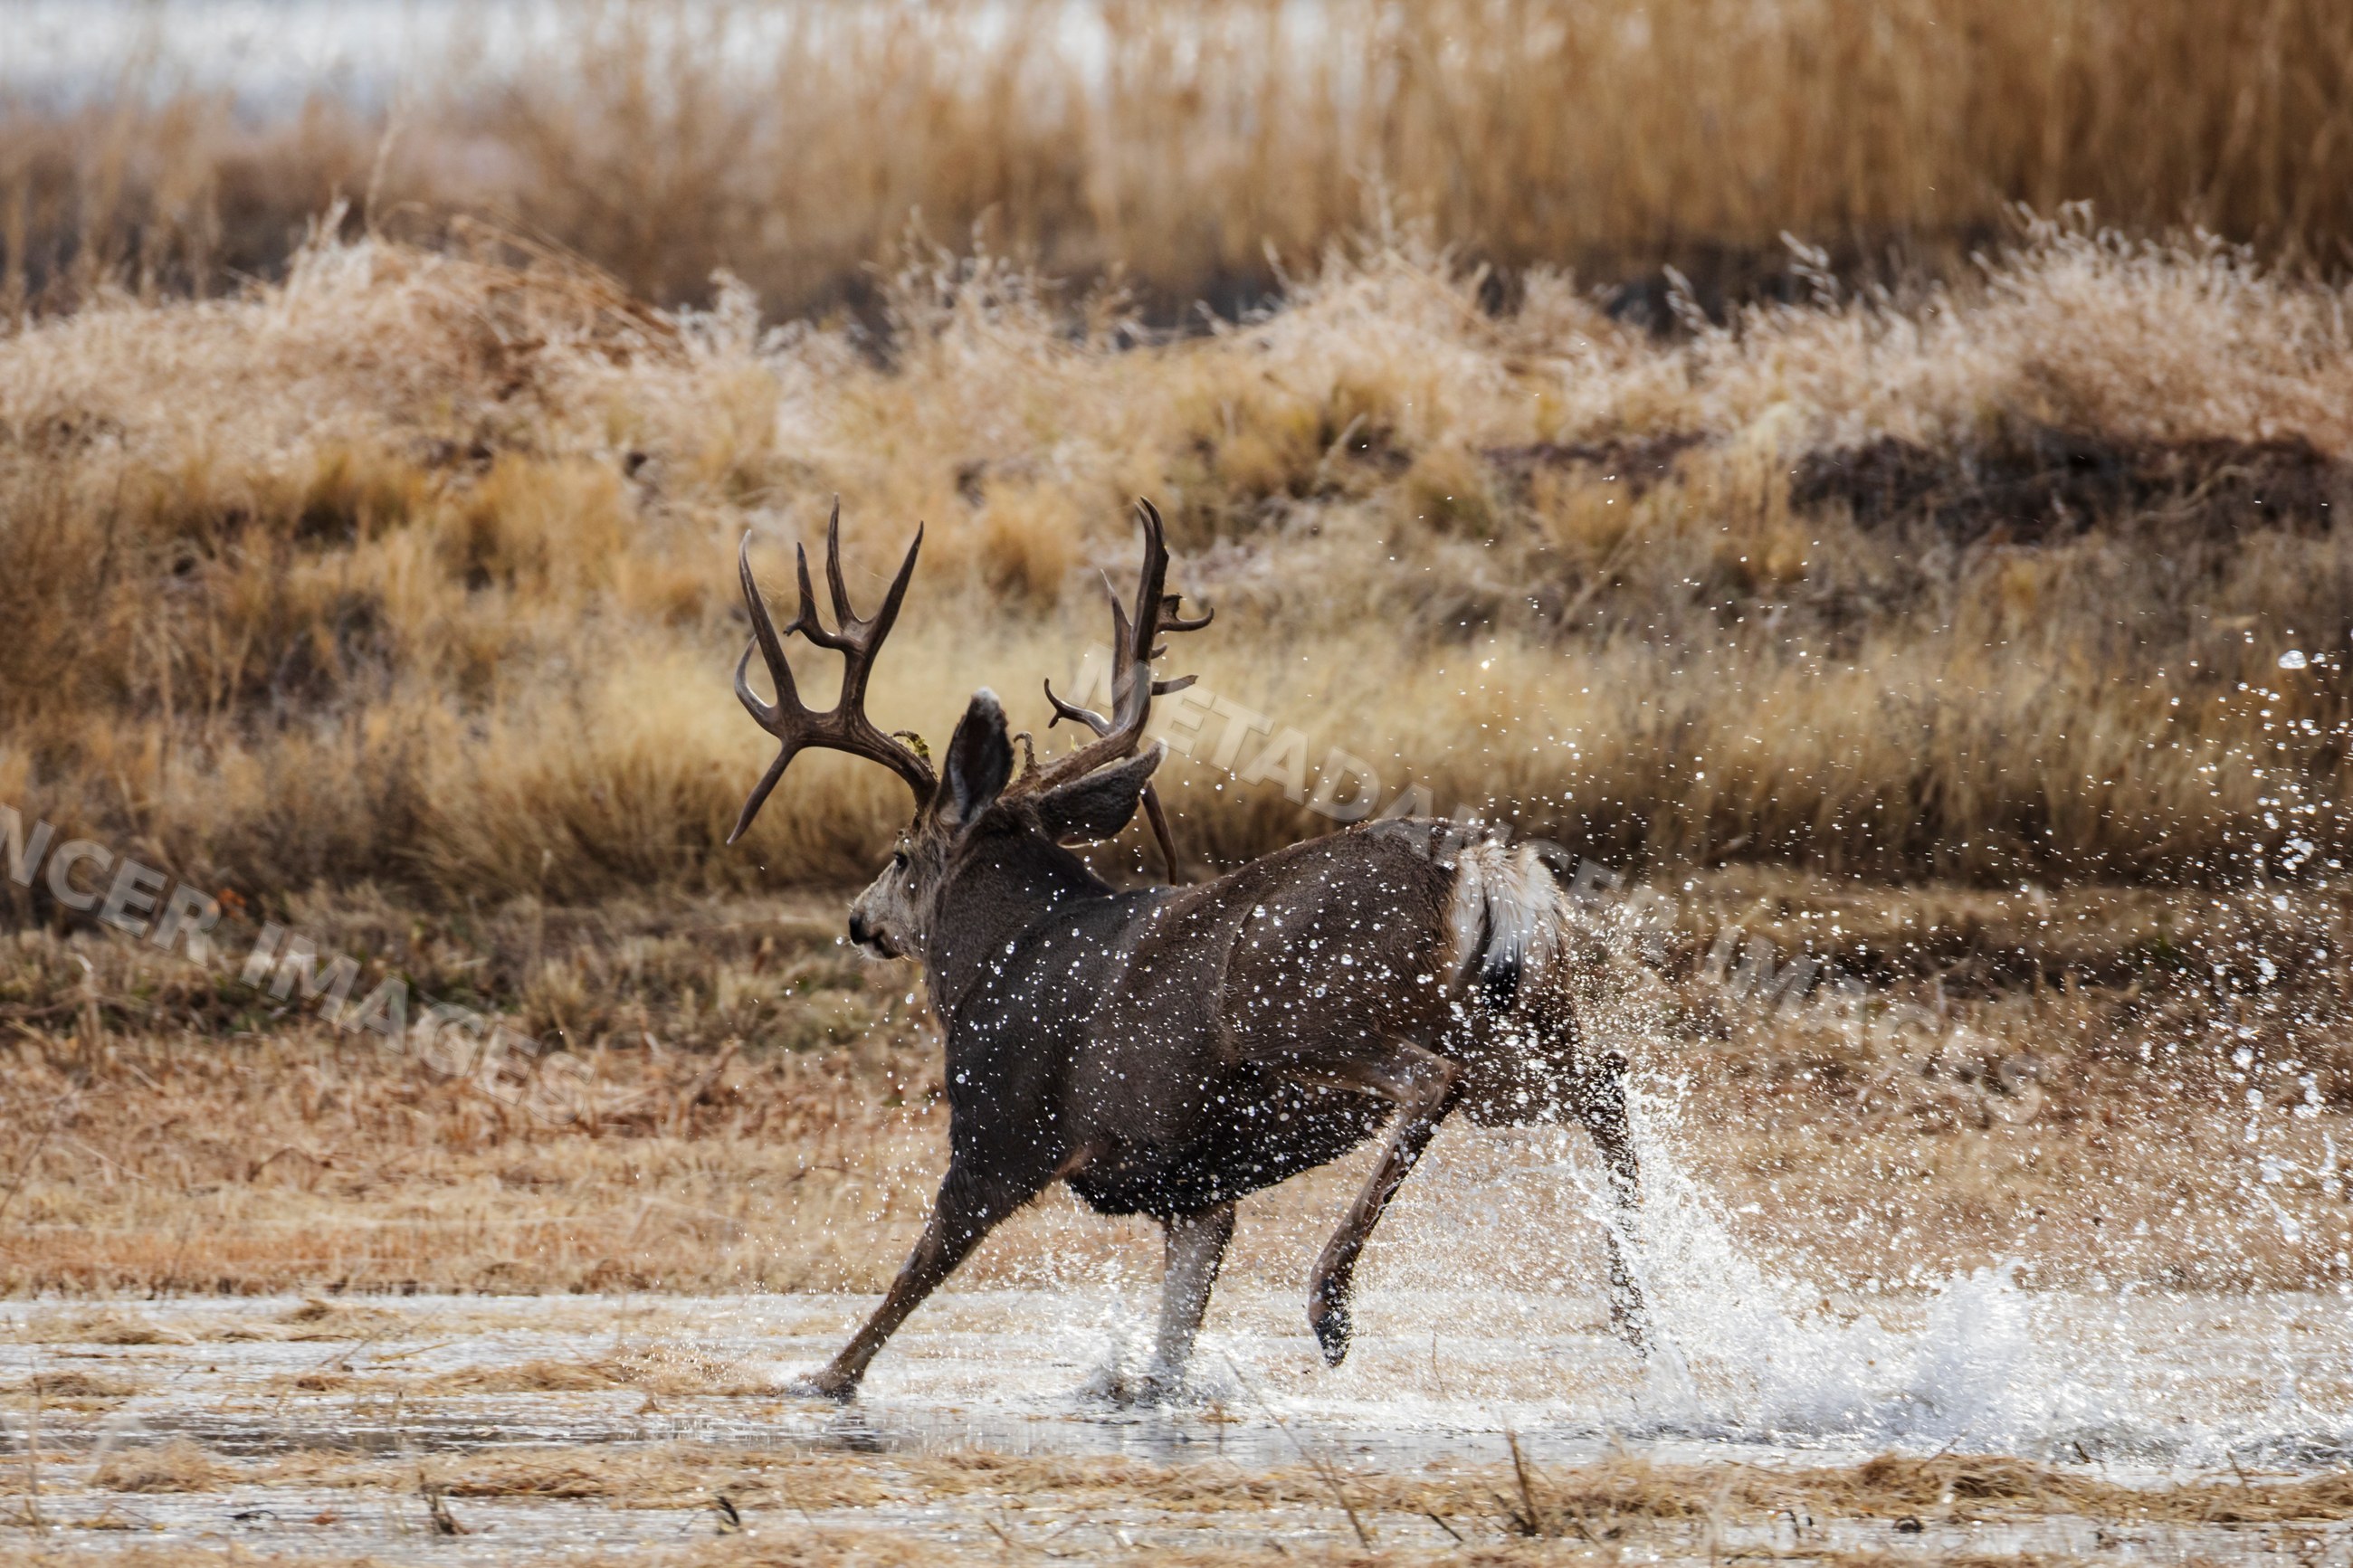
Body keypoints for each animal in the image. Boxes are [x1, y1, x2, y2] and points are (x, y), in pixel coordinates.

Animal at [728, 498, 1650, 1402]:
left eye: (899, 853)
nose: (859, 919)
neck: (999, 958)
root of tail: (1482, 863)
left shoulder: (1001, 1130)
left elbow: (906, 1284)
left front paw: (817, 1378)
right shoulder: (1196, 1188)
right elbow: (1169, 1356)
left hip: (1301, 1007)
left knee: (1433, 1080)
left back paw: (1331, 1302)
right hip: (1516, 1034)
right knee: (1605, 1079)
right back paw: (1635, 1304)